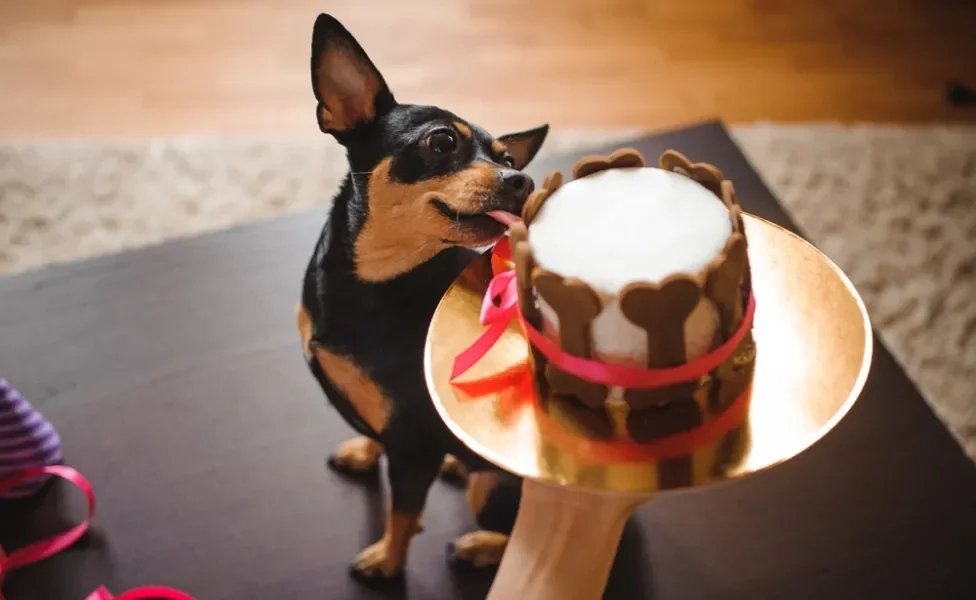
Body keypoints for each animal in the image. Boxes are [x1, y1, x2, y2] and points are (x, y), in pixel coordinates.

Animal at [294, 14, 544, 584]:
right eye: (442, 142)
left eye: (506, 158)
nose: (521, 178)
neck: (376, 281)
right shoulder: (392, 427)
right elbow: (374, 435)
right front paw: (365, 450)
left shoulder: (414, 444)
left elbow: (403, 512)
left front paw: (387, 562)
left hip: (490, 488)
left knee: (519, 536)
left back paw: (479, 545)